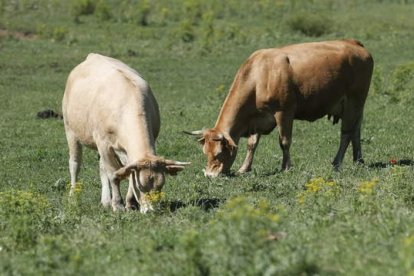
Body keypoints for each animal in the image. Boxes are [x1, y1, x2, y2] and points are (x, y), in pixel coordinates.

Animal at [61, 54, 189, 213]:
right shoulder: (103, 143)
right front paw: (118, 204)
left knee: (101, 167)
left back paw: (105, 200)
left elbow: (127, 173)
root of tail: (92, 56)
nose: (151, 211)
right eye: (141, 187)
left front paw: (130, 203)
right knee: (74, 164)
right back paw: (73, 197)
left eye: (160, 187)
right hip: (70, 130)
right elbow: (113, 174)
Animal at [186, 39, 374, 177]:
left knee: (347, 133)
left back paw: (337, 162)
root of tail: (355, 43)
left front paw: (286, 167)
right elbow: (252, 144)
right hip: (356, 106)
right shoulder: (257, 119)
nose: (209, 175)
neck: (258, 77)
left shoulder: (284, 112)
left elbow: (284, 142)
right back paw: (358, 160)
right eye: (205, 152)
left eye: (218, 153)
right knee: (356, 130)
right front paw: (244, 168)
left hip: (354, 101)